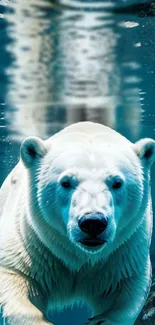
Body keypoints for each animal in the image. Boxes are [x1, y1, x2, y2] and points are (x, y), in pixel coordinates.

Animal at [0, 121, 155, 324]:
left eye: (117, 182)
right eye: (66, 182)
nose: (93, 222)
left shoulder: (124, 251)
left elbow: (128, 289)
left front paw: (100, 320)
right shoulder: (31, 242)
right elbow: (14, 278)